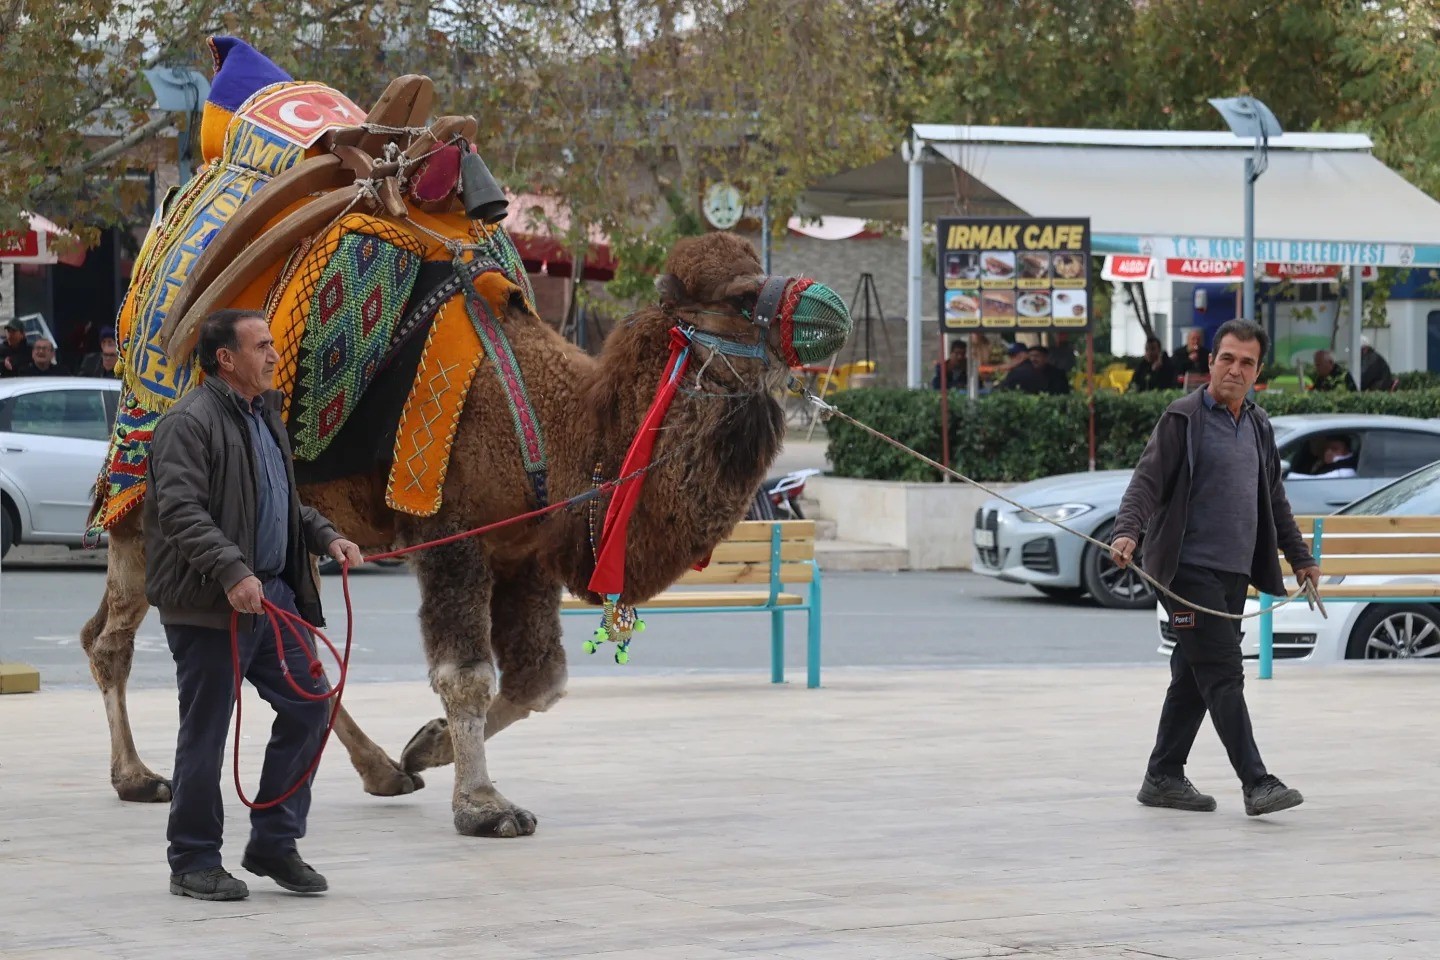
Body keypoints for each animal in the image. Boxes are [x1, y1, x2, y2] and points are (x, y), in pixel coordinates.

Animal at [78, 37, 846, 834]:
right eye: (741, 296)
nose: (829, 307)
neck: (556, 426)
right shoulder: (450, 530)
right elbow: (468, 675)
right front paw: (483, 806)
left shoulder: (525, 548)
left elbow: (541, 681)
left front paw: (426, 746)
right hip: (149, 479)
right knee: (115, 632)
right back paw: (138, 776)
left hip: (289, 509)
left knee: (281, 635)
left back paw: (380, 769)